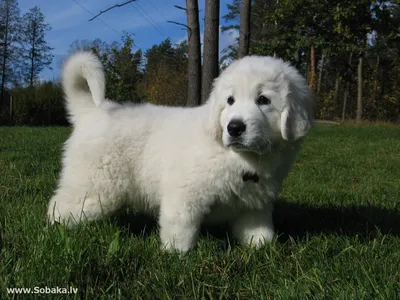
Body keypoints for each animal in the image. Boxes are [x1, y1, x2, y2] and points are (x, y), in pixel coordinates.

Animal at [48, 51, 312, 251]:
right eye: (230, 100)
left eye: (263, 100)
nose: (234, 127)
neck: (241, 158)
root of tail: (91, 112)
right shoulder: (185, 193)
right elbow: (181, 226)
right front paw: (177, 255)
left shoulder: (255, 202)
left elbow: (259, 228)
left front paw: (261, 247)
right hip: (95, 186)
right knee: (60, 206)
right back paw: (57, 231)